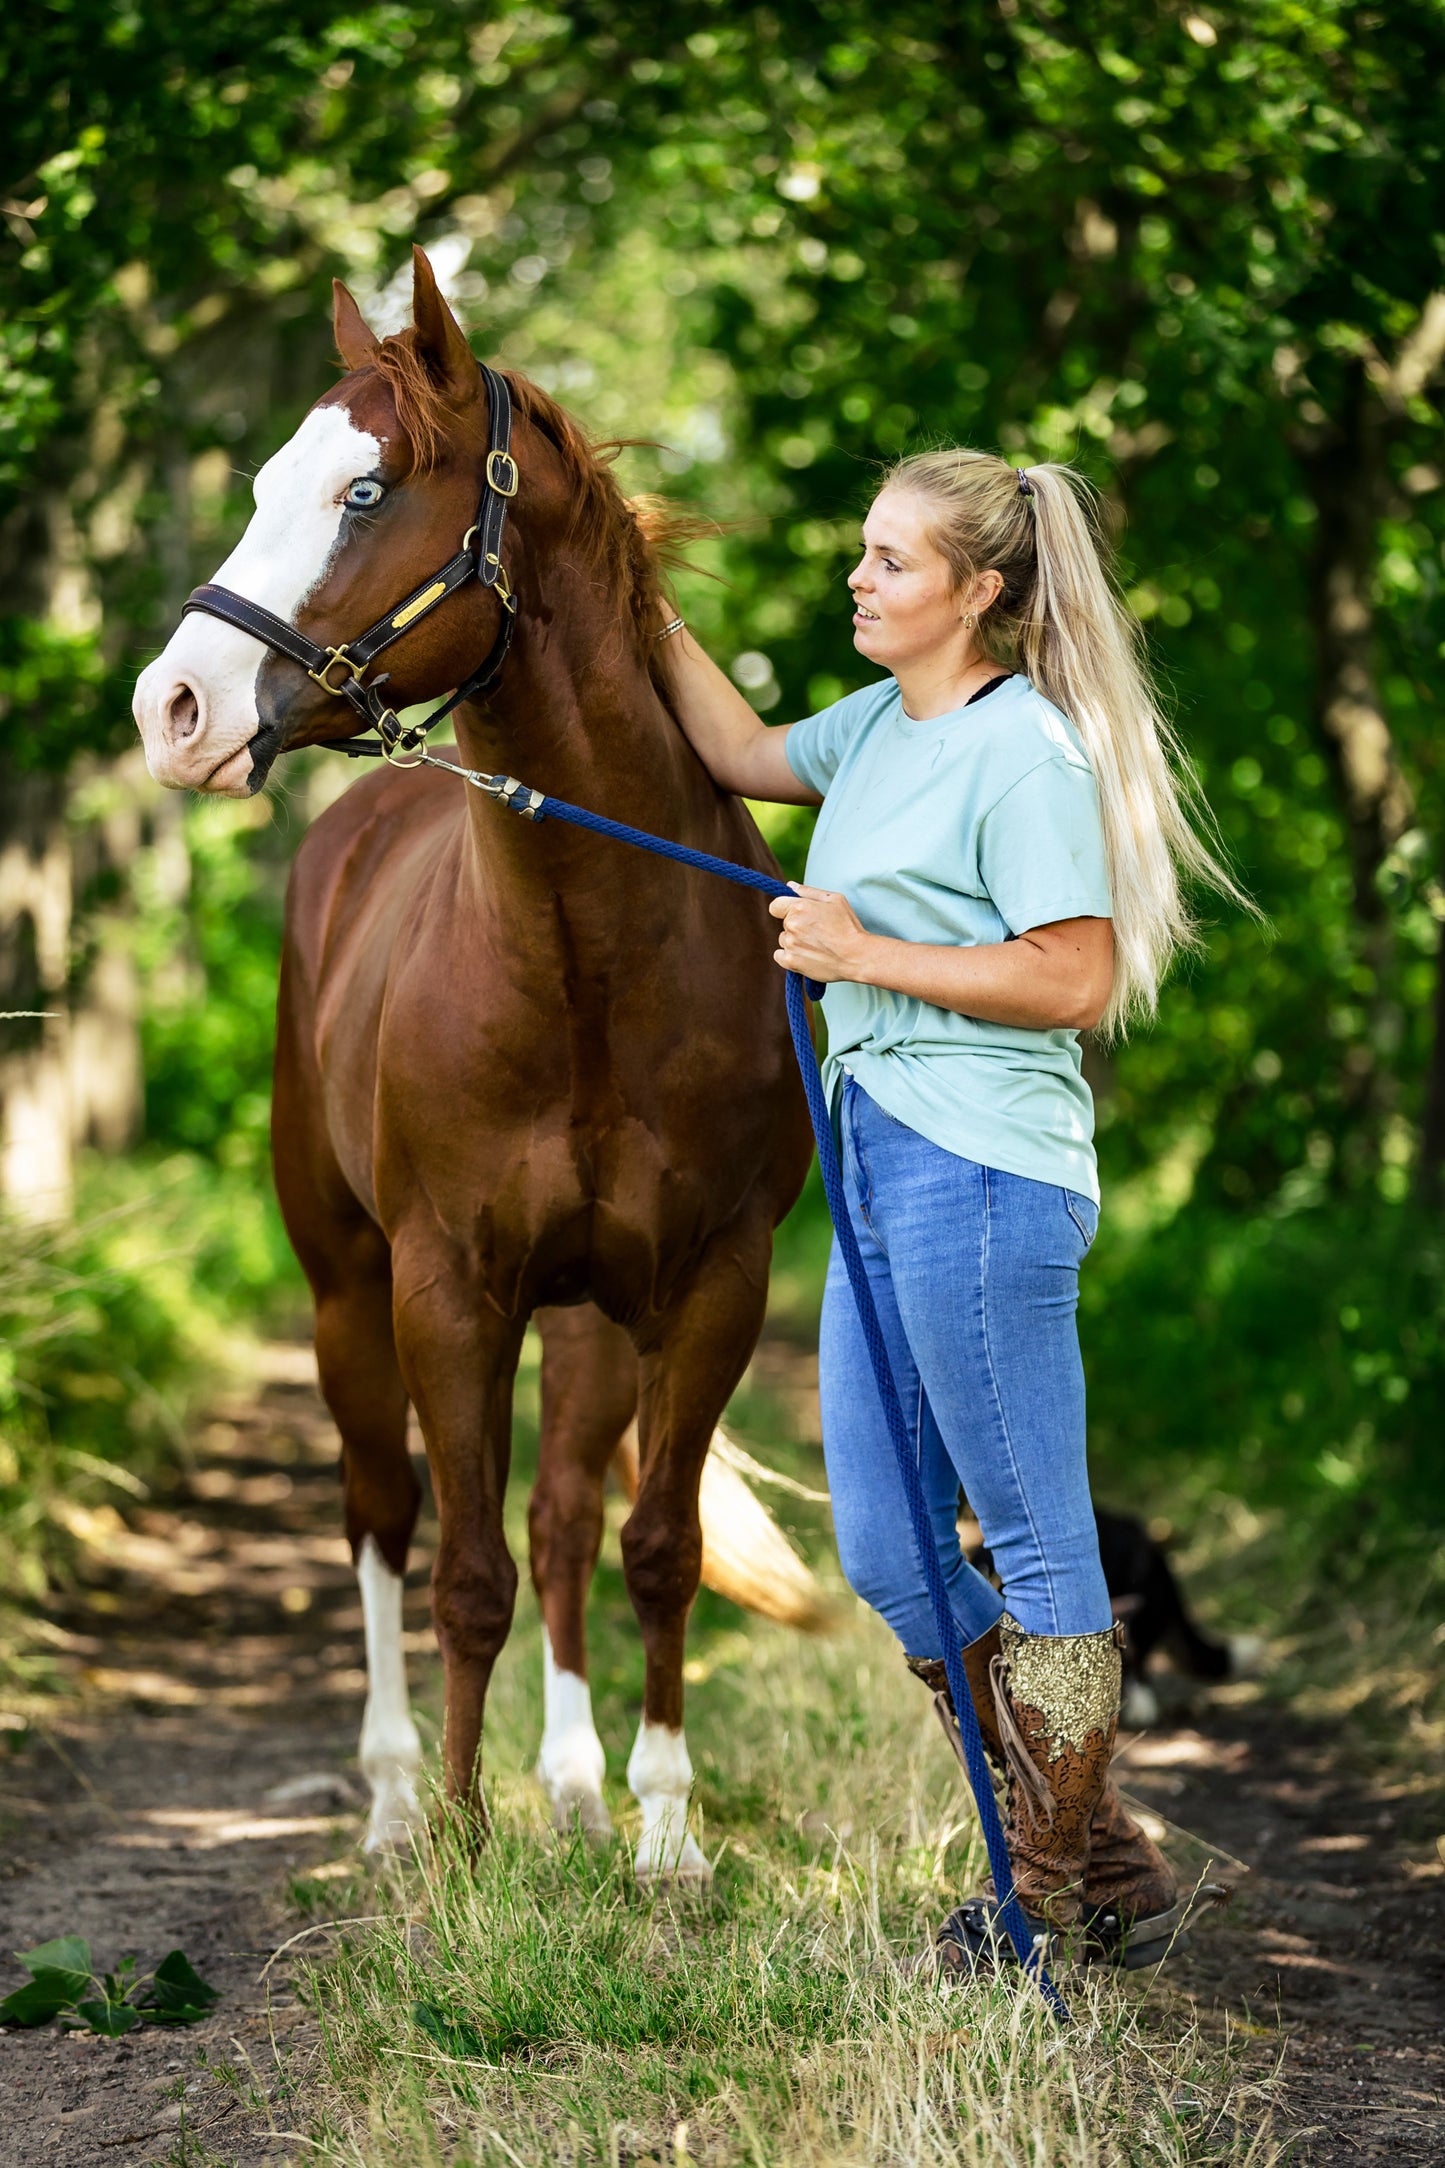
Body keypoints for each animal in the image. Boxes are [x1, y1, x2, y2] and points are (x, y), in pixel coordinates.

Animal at [132, 257, 814, 1881]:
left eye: (367, 489)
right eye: (264, 484)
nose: (170, 711)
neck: (590, 965)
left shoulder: (706, 1287)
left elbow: (651, 1547)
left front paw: (663, 1834)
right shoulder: (442, 1289)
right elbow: (461, 1571)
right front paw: (455, 1834)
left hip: (584, 1318)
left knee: (565, 1518)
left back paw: (572, 1788)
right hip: (344, 1294)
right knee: (381, 1518)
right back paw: (390, 1803)